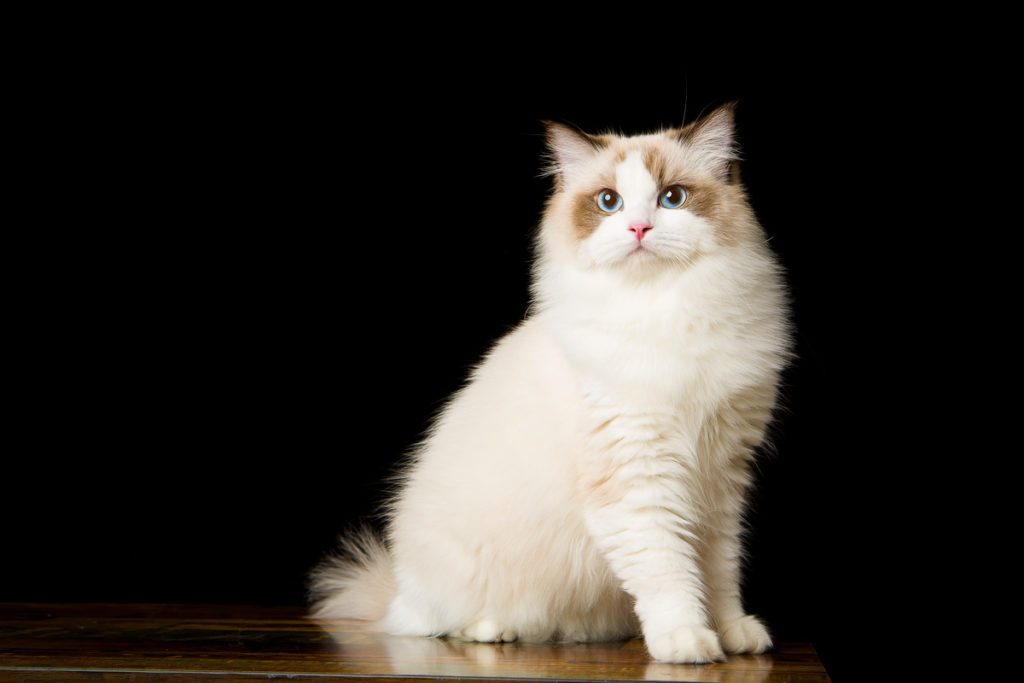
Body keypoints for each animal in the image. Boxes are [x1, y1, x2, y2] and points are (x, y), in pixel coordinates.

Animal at [309, 104, 790, 663]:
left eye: (672, 198)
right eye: (609, 202)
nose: (639, 227)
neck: (666, 310)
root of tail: (397, 593)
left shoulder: (721, 479)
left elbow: (718, 573)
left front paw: (732, 633)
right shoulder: (638, 481)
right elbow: (667, 571)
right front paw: (686, 639)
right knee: (438, 622)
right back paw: (493, 630)